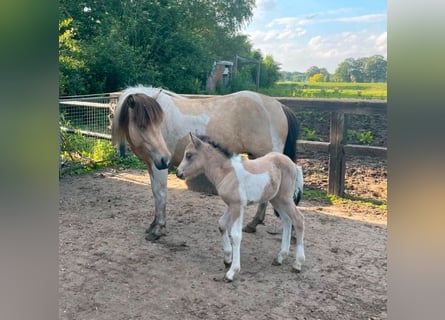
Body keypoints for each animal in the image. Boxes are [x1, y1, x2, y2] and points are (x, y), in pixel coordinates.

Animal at [175, 134, 304, 282]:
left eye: (189, 155)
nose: (178, 173)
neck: (227, 172)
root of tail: (293, 164)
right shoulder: (231, 205)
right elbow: (221, 224)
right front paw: (227, 259)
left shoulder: (237, 205)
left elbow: (236, 235)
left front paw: (232, 272)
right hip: (276, 199)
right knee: (286, 221)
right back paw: (280, 257)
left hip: (285, 198)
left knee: (298, 219)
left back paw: (297, 264)